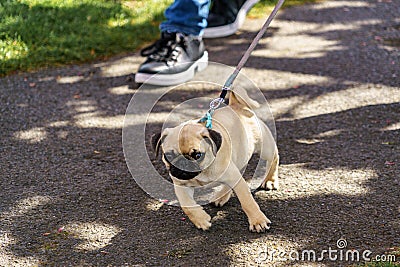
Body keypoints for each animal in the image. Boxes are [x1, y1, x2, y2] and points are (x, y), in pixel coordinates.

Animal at [152, 88, 280, 232]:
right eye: (168, 156)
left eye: (197, 155)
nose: (183, 164)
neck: (203, 172)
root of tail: (237, 105)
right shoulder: (181, 186)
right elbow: (187, 205)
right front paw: (201, 219)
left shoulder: (235, 179)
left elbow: (247, 201)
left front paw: (258, 220)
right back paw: (222, 196)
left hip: (265, 148)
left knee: (274, 157)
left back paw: (270, 180)